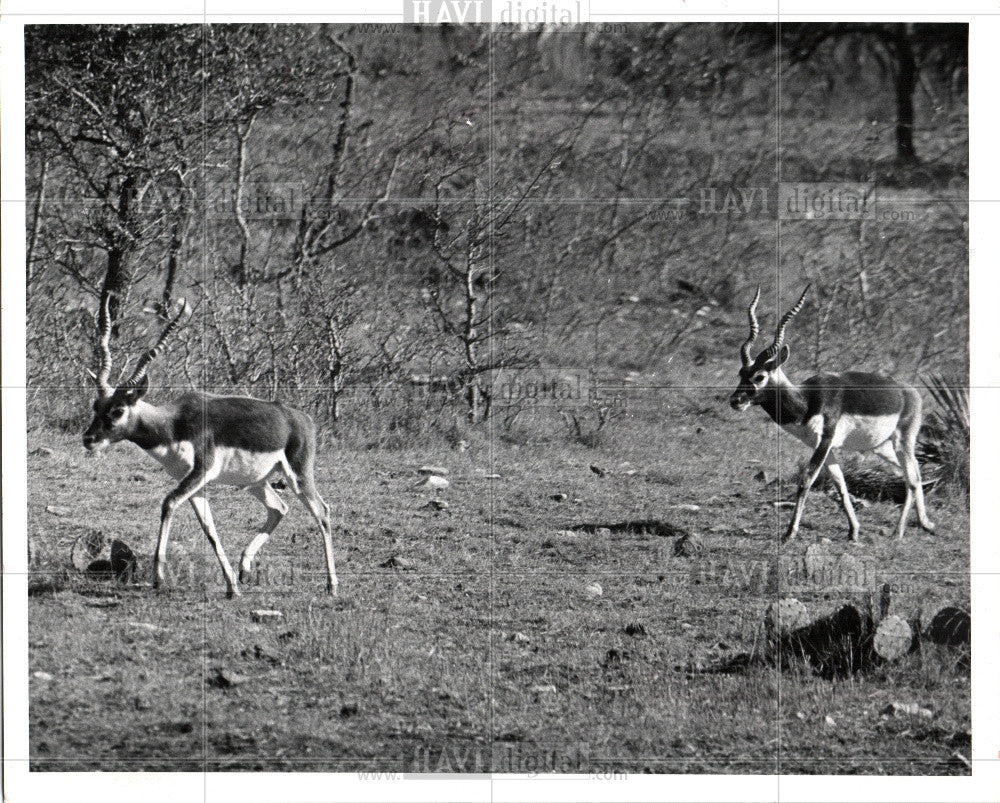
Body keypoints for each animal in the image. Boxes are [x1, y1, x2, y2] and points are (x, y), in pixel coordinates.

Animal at [83, 298, 340, 600]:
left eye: (119, 410)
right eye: (96, 405)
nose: (89, 438)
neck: (174, 424)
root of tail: (302, 419)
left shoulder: (201, 471)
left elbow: (168, 503)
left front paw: (158, 578)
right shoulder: (193, 481)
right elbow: (210, 530)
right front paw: (231, 586)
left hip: (298, 475)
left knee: (322, 512)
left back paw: (332, 585)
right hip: (256, 481)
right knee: (279, 508)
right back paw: (245, 569)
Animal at [728, 286, 936, 544]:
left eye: (760, 376)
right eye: (741, 373)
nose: (735, 401)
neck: (807, 401)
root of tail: (911, 392)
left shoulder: (825, 441)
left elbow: (806, 480)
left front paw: (789, 533)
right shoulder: (823, 447)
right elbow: (840, 485)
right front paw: (854, 530)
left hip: (903, 441)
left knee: (913, 479)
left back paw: (898, 532)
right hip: (883, 448)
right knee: (914, 473)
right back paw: (926, 523)